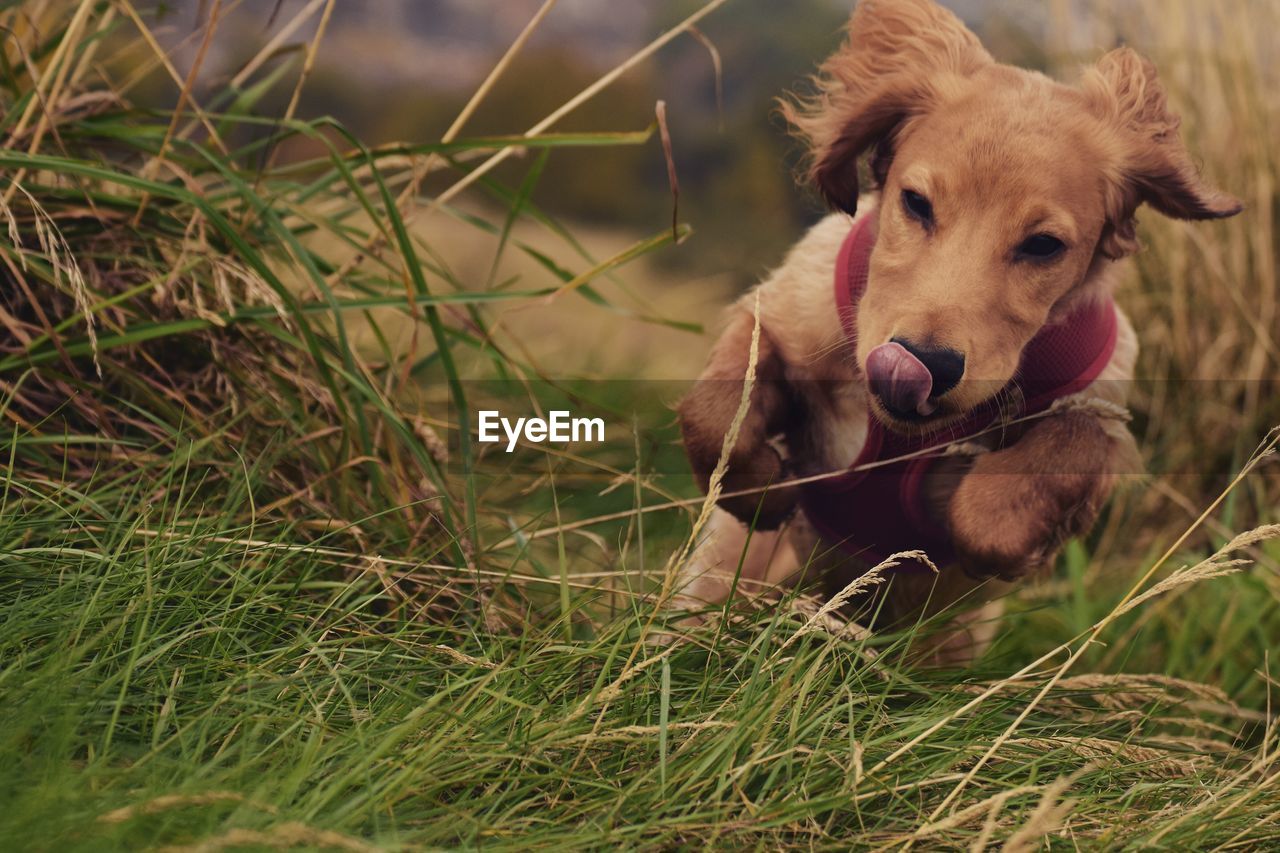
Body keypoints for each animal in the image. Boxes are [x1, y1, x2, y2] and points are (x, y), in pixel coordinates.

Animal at [670, 0, 1239, 660]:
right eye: (916, 203)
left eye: (1043, 245)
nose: (923, 364)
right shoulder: (782, 314)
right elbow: (716, 413)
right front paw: (767, 486)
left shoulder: (1106, 408)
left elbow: (1054, 459)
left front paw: (1000, 533)